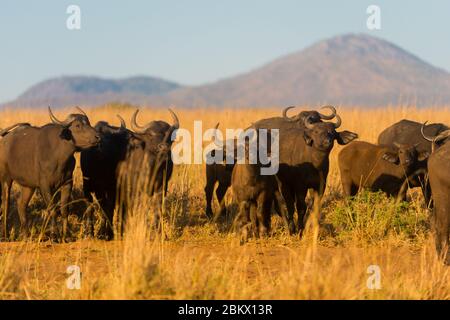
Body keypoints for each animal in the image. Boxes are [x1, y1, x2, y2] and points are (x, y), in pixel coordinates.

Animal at [0, 107, 98, 240]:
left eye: (88, 123)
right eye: (77, 125)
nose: (98, 137)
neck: (59, 156)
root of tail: (5, 139)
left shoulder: (67, 183)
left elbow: (64, 209)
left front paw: (65, 235)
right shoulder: (44, 186)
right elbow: (52, 209)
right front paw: (54, 235)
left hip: (28, 186)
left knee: (21, 204)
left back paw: (26, 236)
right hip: (6, 179)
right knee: (6, 204)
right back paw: (4, 235)